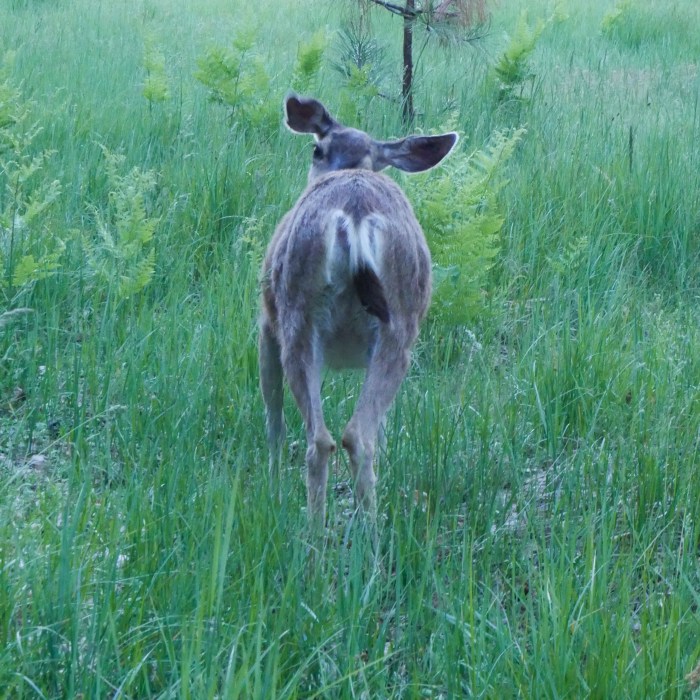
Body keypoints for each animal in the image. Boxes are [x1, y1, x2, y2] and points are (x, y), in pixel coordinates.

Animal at [259, 93, 458, 531]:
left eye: (315, 149)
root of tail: (354, 213)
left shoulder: (264, 323)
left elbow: (273, 417)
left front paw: (274, 483)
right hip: (399, 328)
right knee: (354, 438)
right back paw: (368, 529)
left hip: (296, 317)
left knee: (322, 438)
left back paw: (320, 534)